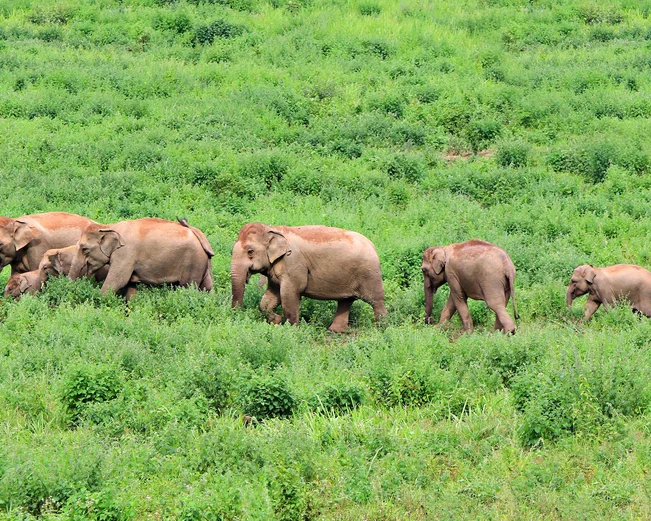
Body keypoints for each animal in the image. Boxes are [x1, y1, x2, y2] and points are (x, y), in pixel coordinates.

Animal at [69, 217, 214, 298]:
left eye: (84, 249)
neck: (108, 226)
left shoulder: (125, 254)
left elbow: (117, 282)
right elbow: (130, 287)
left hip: (193, 262)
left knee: (188, 287)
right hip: (204, 263)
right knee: (207, 288)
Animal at [231, 222, 387, 332]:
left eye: (250, 251)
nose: (236, 315)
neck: (272, 229)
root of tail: (373, 246)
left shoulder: (293, 264)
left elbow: (289, 294)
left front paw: (291, 330)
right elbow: (270, 297)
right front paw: (277, 321)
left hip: (369, 273)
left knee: (376, 300)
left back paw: (382, 330)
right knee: (346, 300)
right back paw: (336, 331)